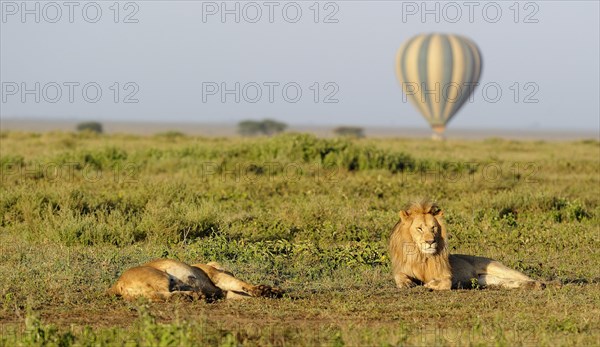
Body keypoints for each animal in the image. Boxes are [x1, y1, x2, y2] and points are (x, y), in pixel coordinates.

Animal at [108, 260, 284, 304]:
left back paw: (196, 296)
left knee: (156, 296)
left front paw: (273, 293)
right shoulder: (217, 276)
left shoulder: (225, 293)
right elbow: (241, 283)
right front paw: (265, 290)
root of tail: (116, 284)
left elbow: (241, 294)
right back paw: (193, 296)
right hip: (160, 275)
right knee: (161, 293)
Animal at [386, 201, 548, 290]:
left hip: (499, 268)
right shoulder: (402, 269)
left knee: (525, 277)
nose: (430, 241)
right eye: (419, 228)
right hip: (486, 279)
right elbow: (399, 276)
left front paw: (429, 285)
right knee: (510, 282)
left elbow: (445, 283)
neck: (422, 257)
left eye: (434, 228)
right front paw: (407, 283)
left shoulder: (447, 275)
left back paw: (542, 284)